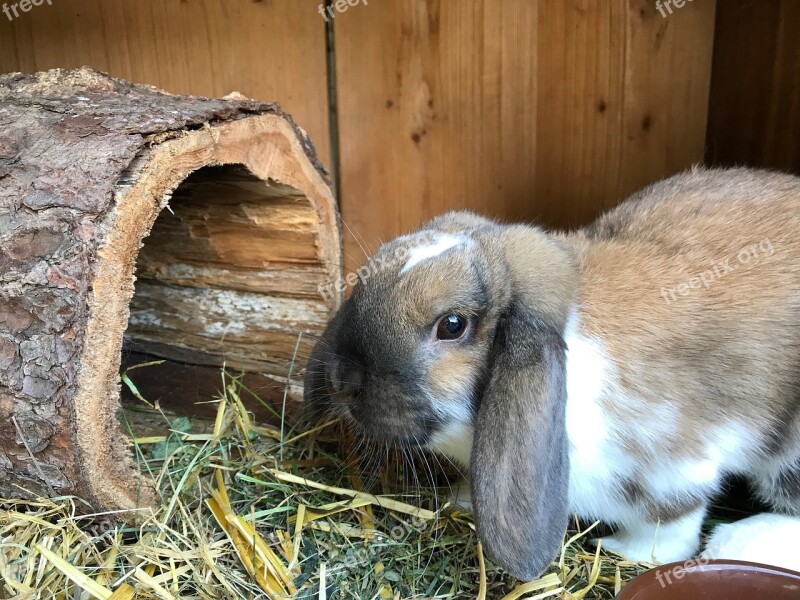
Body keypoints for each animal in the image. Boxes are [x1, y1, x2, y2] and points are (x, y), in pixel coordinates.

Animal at [302, 166, 800, 580]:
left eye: (452, 324)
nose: (342, 381)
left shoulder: (677, 468)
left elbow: (670, 527)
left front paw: (625, 552)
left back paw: (736, 541)